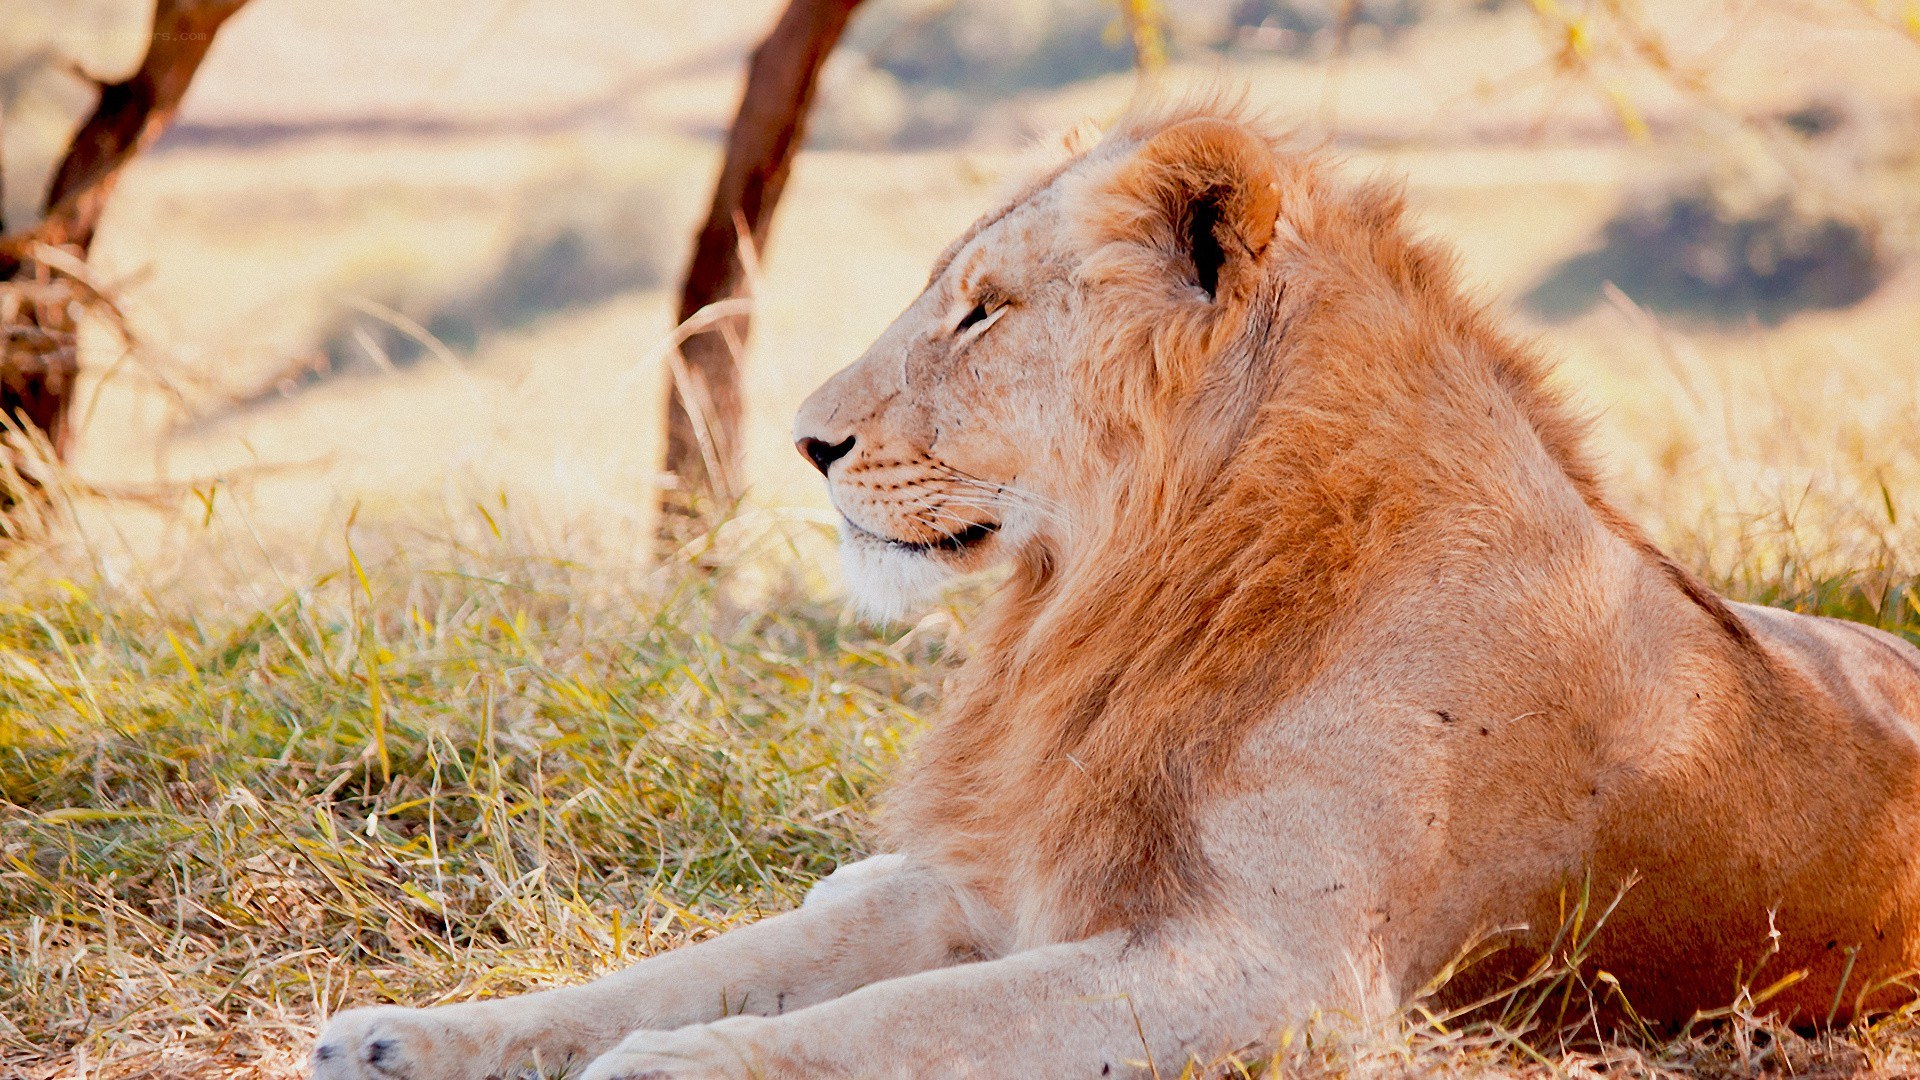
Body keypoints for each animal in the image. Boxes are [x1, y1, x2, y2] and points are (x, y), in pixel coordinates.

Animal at [313, 98, 1920, 1080]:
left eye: (981, 310)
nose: (807, 441)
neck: (1125, 591)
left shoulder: (1275, 973)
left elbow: (910, 1025)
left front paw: (672, 1071)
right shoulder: (1003, 885)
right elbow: (732, 963)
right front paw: (407, 1037)